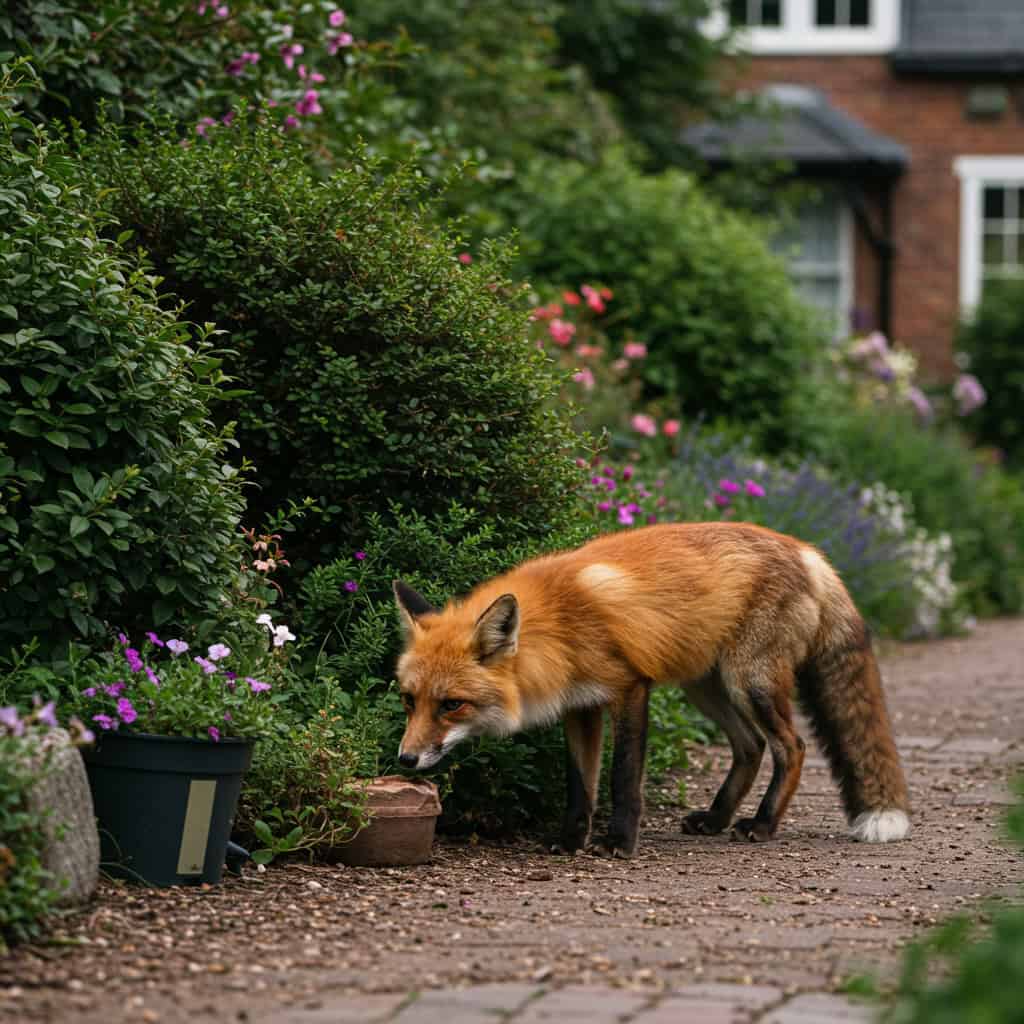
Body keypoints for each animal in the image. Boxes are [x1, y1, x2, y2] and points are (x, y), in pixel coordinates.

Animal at [392, 522, 910, 856]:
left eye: (452, 705)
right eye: (409, 700)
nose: (406, 760)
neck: (559, 626)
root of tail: (807, 551)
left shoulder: (629, 687)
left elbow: (622, 777)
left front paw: (619, 842)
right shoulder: (581, 706)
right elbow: (580, 784)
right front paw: (570, 840)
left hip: (749, 682)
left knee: (792, 746)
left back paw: (761, 824)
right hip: (706, 688)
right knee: (752, 746)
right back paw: (716, 819)